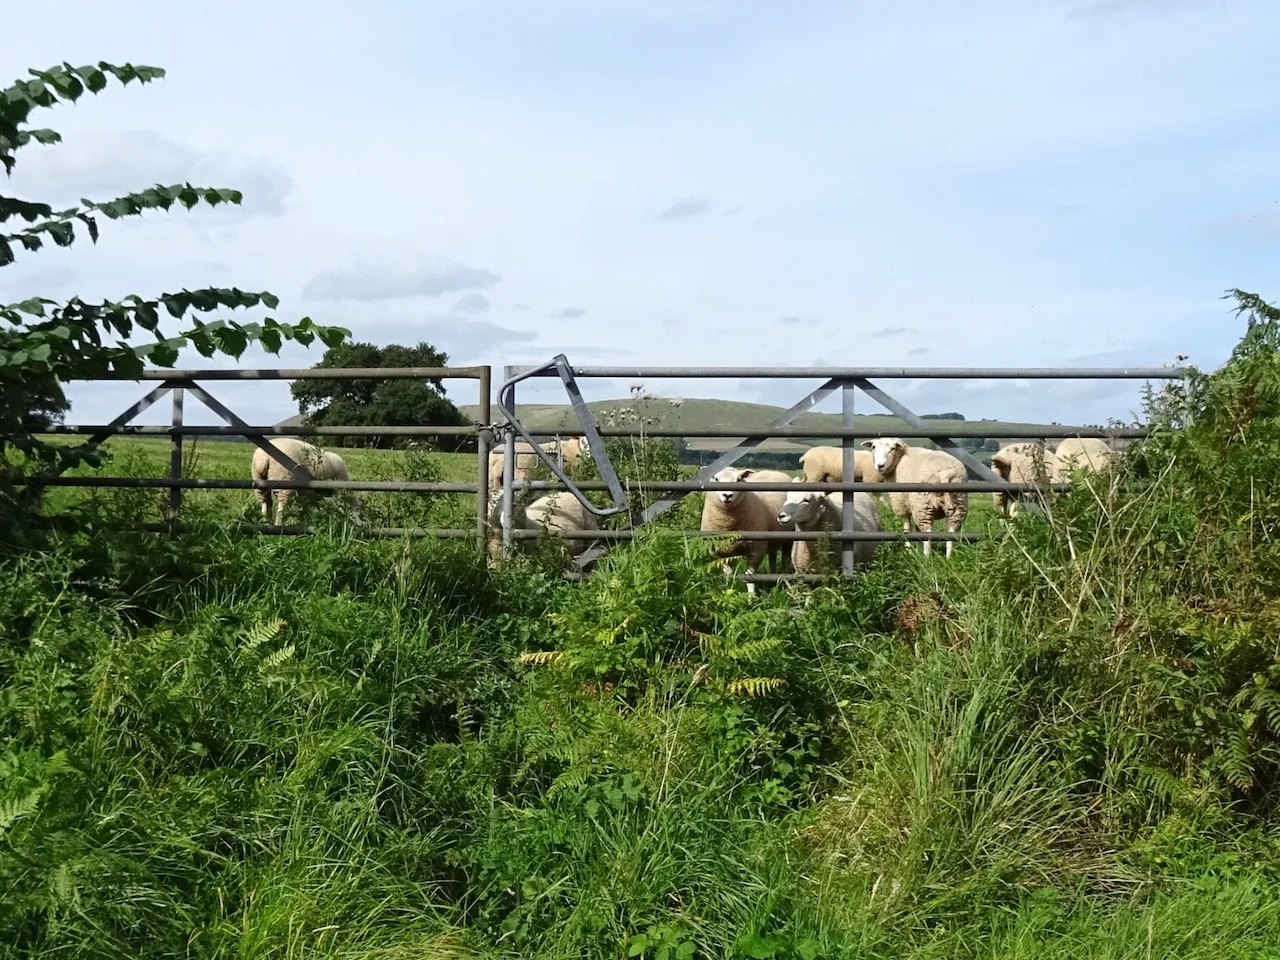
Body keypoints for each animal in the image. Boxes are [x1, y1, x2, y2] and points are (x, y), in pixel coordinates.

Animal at [701, 465, 788, 593]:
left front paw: (751, 596)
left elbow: (749, 576)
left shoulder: (757, 550)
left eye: (738, 480)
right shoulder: (717, 552)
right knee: (772, 557)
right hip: (772, 538)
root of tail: (773, 471)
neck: (728, 524)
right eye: (716, 479)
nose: (727, 495)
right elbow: (728, 572)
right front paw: (729, 588)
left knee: (786, 559)